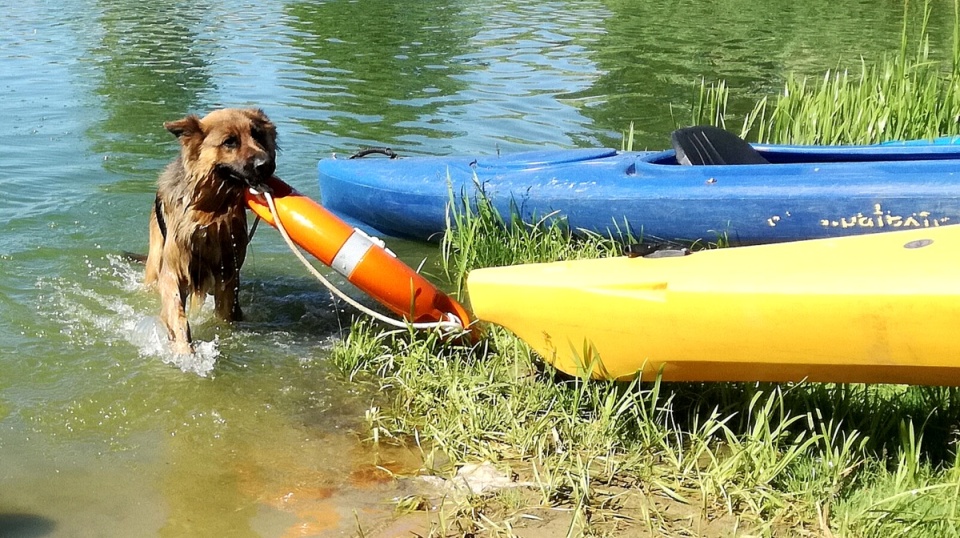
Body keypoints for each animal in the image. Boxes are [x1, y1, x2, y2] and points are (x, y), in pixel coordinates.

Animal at [144, 107, 278, 354]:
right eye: (230, 142)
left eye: (257, 135)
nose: (266, 165)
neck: (210, 211)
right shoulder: (174, 272)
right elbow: (177, 315)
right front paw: (184, 350)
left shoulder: (228, 273)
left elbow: (225, 314)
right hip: (155, 261)